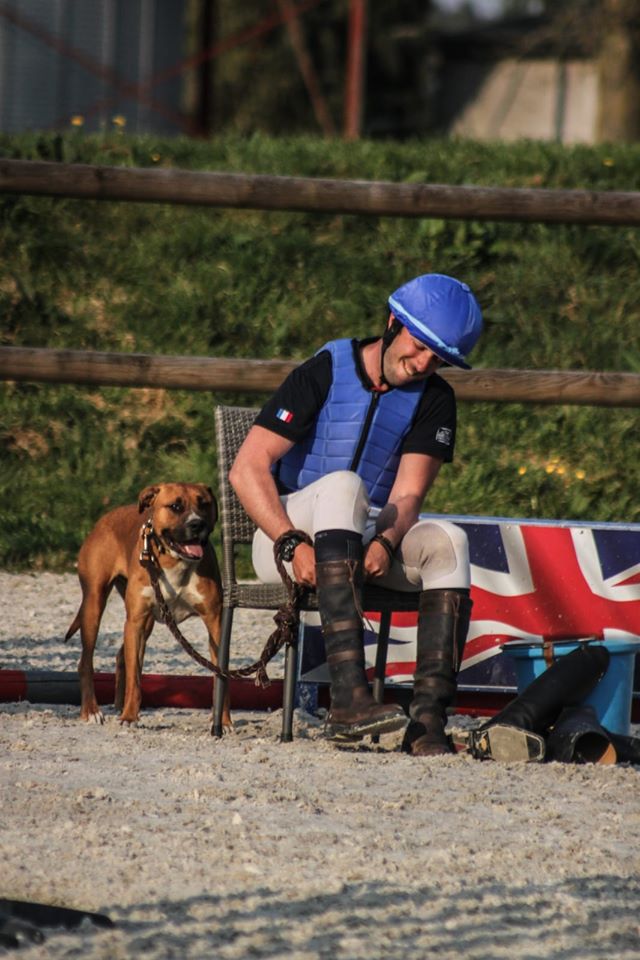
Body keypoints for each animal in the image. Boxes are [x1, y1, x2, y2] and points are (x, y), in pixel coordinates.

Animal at [65, 480, 229, 728]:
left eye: (204, 504)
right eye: (175, 506)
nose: (197, 524)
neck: (174, 560)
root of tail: (105, 519)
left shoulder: (215, 622)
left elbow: (221, 676)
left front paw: (224, 721)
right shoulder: (136, 621)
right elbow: (135, 678)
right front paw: (130, 717)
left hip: (147, 621)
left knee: (121, 656)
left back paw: (118, 704)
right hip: (95, 604)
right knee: (86, 662)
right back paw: (92, 710)